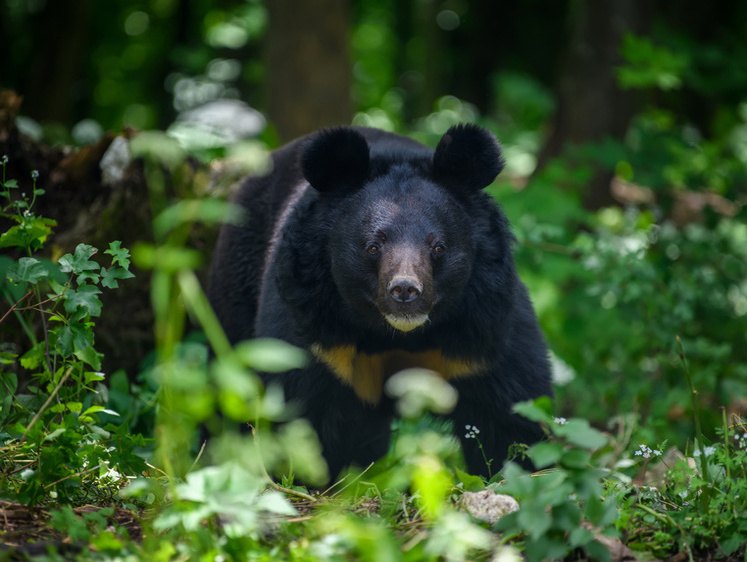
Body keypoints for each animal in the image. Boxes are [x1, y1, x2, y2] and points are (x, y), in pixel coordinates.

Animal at [210, 124, 556, 480]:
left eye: (438, 247)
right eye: (373, 246)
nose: (404, 291)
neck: (398, 334)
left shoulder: (483, 332)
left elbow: (511, 414)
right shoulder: (314, 328)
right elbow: (299, 411)